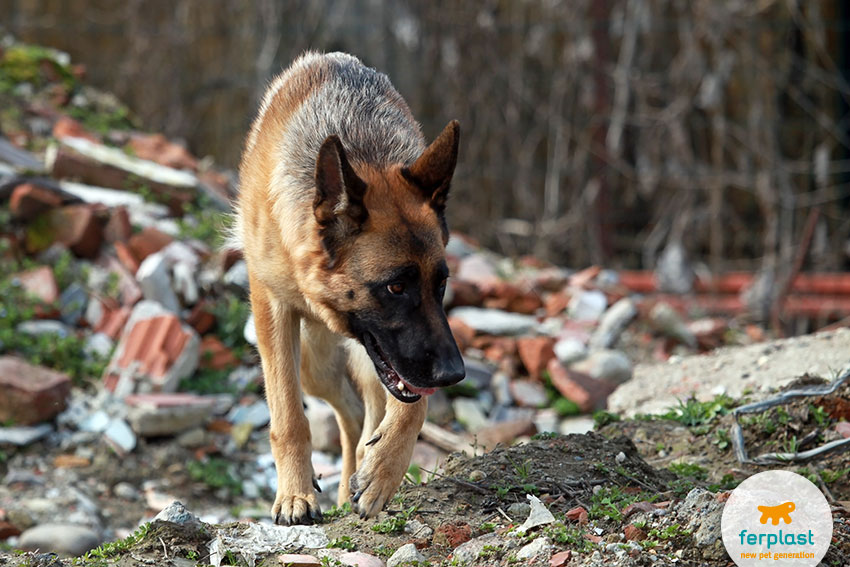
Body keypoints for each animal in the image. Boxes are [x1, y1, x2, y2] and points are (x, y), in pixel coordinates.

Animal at [234, 53, 464, 524]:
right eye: (395, 287)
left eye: (441, 284)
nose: (455, 374)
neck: (363, 150)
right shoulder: (272, 310)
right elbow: (288, 418)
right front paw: (295, 495)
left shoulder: (407, 354)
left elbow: (414, 404)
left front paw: (384, 470)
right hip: (310, 362)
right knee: (349, 410)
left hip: (358, 357)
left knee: (365, 413)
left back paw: (362, 470)